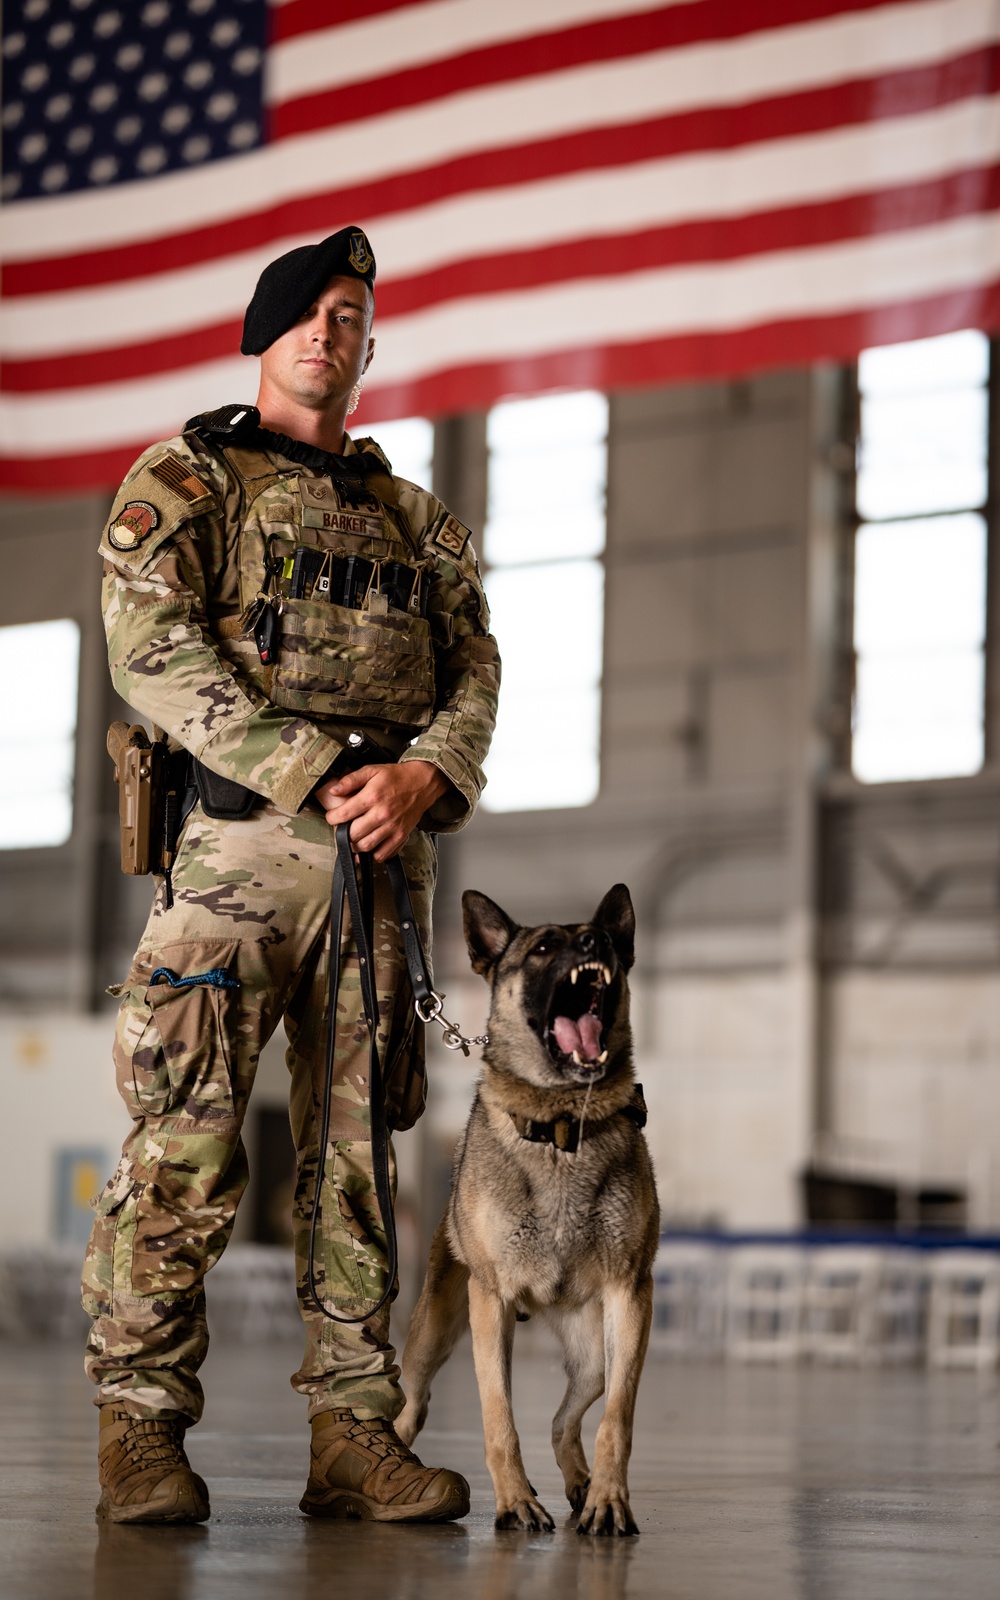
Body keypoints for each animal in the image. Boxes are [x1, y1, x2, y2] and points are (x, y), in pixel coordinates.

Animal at [393, 889, 659, 1536]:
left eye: (602, 940)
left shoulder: (630, 1297)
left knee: (567, 1421)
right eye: (542, 948)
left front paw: (609, 1499)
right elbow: (499, 1418)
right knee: (412, 1404)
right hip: (433, 1336)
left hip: (597, 1355)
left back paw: (582, 1484)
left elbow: (617, 1420)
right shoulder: (489, 1303)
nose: (594, 942)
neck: (561, 1123)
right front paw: (514, 1501)